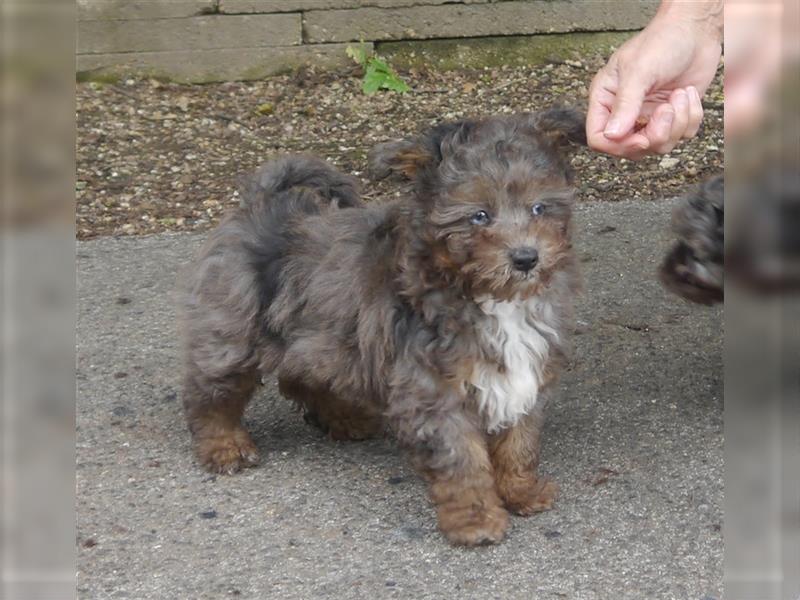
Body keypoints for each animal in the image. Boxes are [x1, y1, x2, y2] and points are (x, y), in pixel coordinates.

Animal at [180, 110, 580, 548]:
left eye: (539, 207)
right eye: (479, 215)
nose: (526, 257)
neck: (484, 295)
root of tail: (261, 204)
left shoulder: (523, 377)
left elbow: (519, 442)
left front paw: (521, 491)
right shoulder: (433, 392)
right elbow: (462, 460)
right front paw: (475, 519)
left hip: (319, 336)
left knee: (303, 378)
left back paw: (344, 419)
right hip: (232, 335)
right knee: (211, 395)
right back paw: (226, 446)